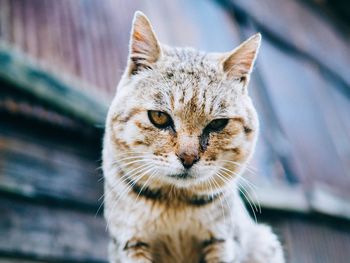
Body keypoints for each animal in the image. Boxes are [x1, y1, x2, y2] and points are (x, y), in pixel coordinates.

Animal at [102, 10, 284, 263]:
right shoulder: (130, 244)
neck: (176, 203)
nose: (187, 158)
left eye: (217, 123)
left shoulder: (222, 243)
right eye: (159, 117)